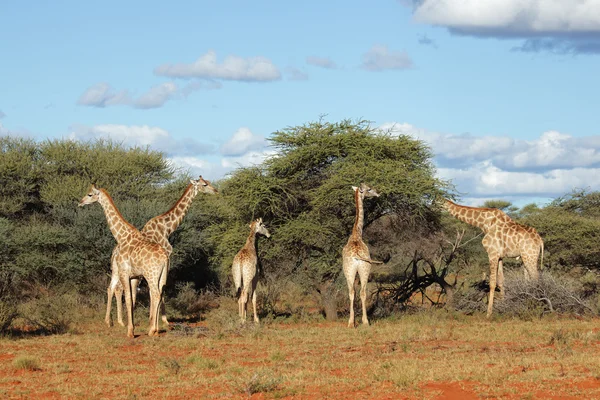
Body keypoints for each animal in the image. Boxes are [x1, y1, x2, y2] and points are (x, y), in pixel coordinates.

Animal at [79, 185, 169, 338]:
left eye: (90, 194)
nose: (80, 202)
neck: (121, 236)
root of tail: (164, 257)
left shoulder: (124, 272)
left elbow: (126, 298)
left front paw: (130, 331)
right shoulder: (134, 276)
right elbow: (132, 299)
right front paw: (130, 327)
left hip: (151, 275)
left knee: (155, 294)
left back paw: (152, 329)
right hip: (162, 276)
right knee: (160, 293)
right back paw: (155, 329)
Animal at [105, 177, 218, 326]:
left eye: (209, 182)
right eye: (204, 184)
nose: (216, 190)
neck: (167, 228)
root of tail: (114, 252)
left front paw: (154, 318)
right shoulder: (167, 257)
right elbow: (162, 287)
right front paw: (163, 319)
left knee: (116, 288)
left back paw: (118, 320)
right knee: (119, 288)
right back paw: (122, 321)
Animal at [340, 184, 382, 328]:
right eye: (369, 189)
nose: (378, 193)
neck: (356, 234)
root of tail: (357, 255)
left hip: (351, 271)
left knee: (353, 292)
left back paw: (352, 323)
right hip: (364, 269)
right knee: (362, 292)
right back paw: (364, 322)